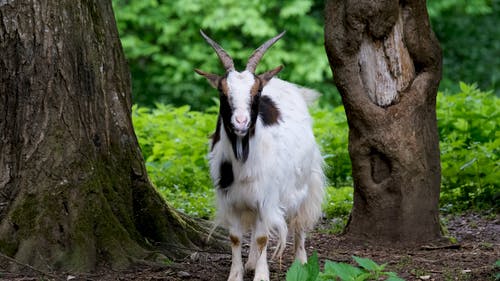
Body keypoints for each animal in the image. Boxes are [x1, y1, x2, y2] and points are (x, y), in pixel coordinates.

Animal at [195, 30, 324, 280]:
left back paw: (302, 261)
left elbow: (263, 237)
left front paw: (262, 276)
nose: (241, 122)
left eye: (257, 92)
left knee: (299, 222)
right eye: (222, 92)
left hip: (305, 182)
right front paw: (236, 274)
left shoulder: (268, 198)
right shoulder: (231, 200)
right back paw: (252, 262)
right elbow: (236, 238)